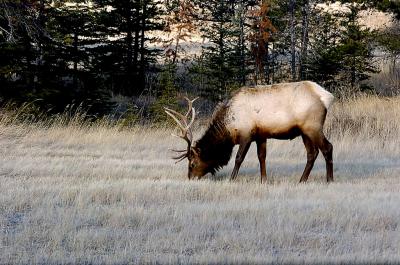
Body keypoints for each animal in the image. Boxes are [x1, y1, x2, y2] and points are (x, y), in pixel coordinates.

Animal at [165, 80, 334, 183]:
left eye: (192, 163)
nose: (190, 178)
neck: (229, 128)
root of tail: (327, 96)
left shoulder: (246, 134)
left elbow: (238, 158)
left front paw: (232, 179)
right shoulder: (261, 135)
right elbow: (262, 157)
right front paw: (263, 180)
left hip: (313, 127)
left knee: (327, 148)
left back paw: (329, 179)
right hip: (304, 131)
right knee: (312, 153)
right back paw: (301, 180)